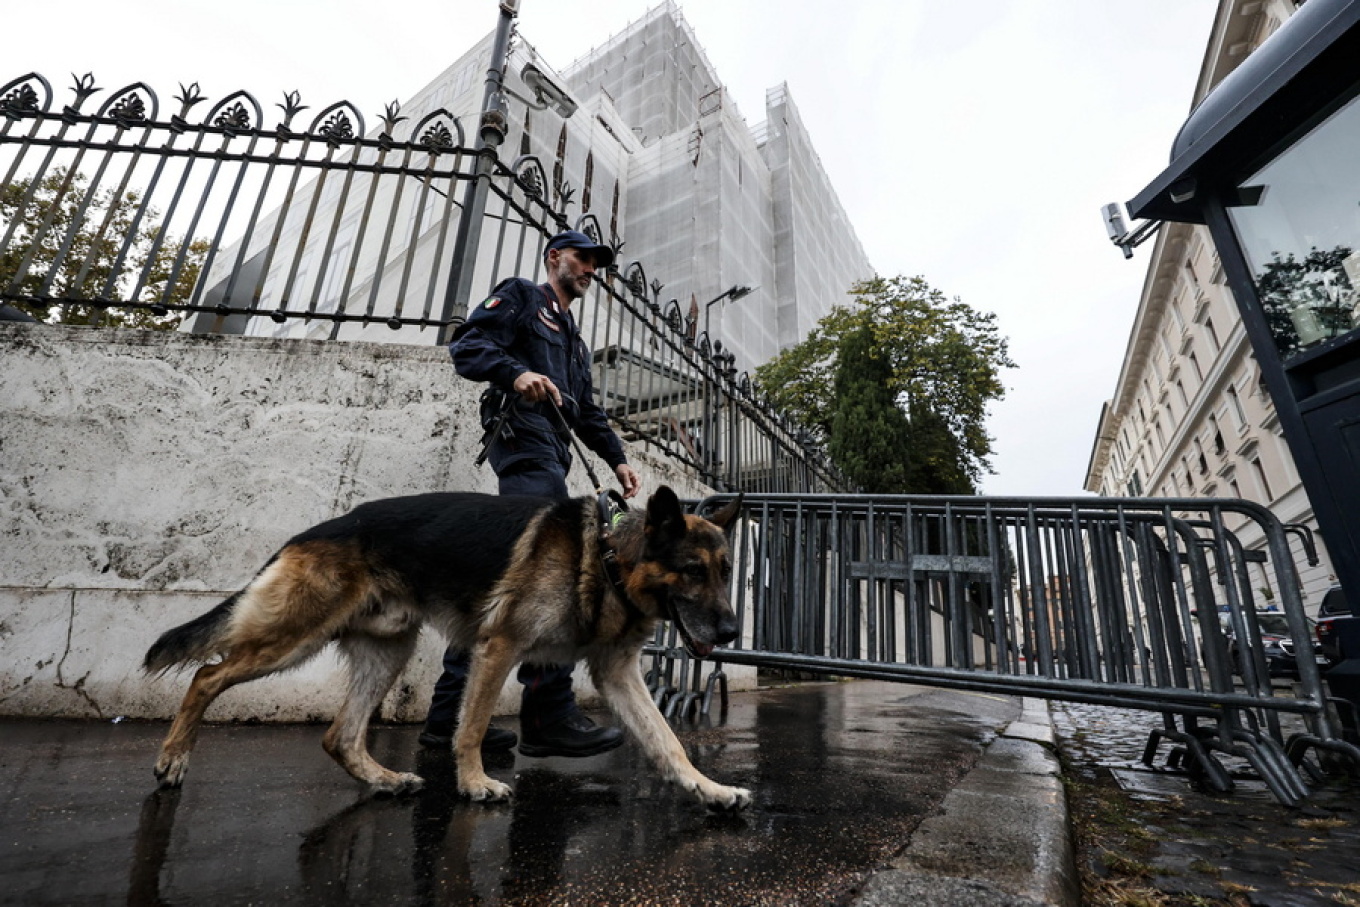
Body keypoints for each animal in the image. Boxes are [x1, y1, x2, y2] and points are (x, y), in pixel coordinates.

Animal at [143, 486, 750, 810]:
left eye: (726, 572)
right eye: (692, 571)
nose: (730, 634)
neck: (607, 558)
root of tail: (313, 531)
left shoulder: (617, 675)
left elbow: (667, 740)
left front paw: (710, 789)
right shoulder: (498, 648)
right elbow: (471, 727)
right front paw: (474, 783)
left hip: (387, 650)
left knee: (341, 735)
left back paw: (384, 779)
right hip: (294, 638)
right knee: (207, 676)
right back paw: (173, 760)